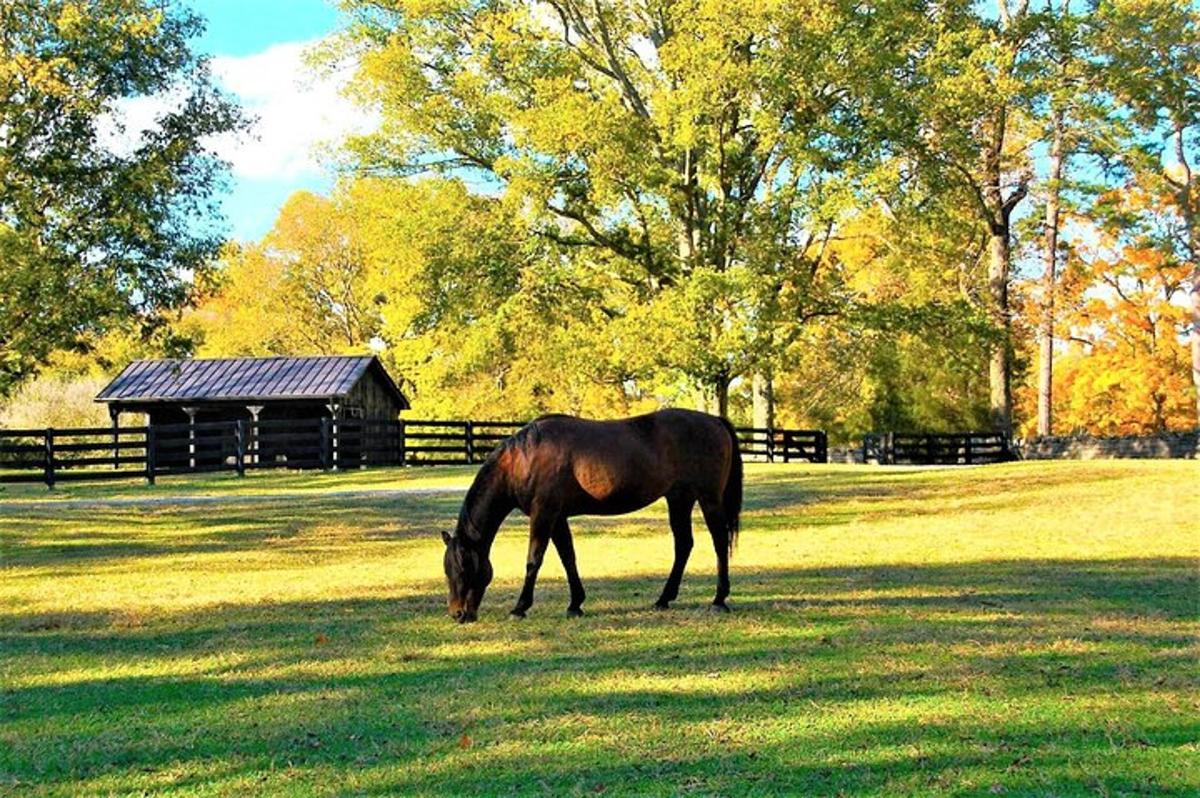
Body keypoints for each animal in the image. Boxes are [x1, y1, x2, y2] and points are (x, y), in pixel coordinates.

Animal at [441, 410, 739, 624]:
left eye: (464, 569)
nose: (458, 614)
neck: (524, 458)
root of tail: (714, 420)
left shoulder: (544, 514)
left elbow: (534, 560)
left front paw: (520, 608)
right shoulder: (558, 518)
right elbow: (568, 558)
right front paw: (575, 604)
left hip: (708, 499)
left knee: (719, 541)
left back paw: (718, 600)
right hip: (679, 499)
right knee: (684, 545)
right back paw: (663, 599)